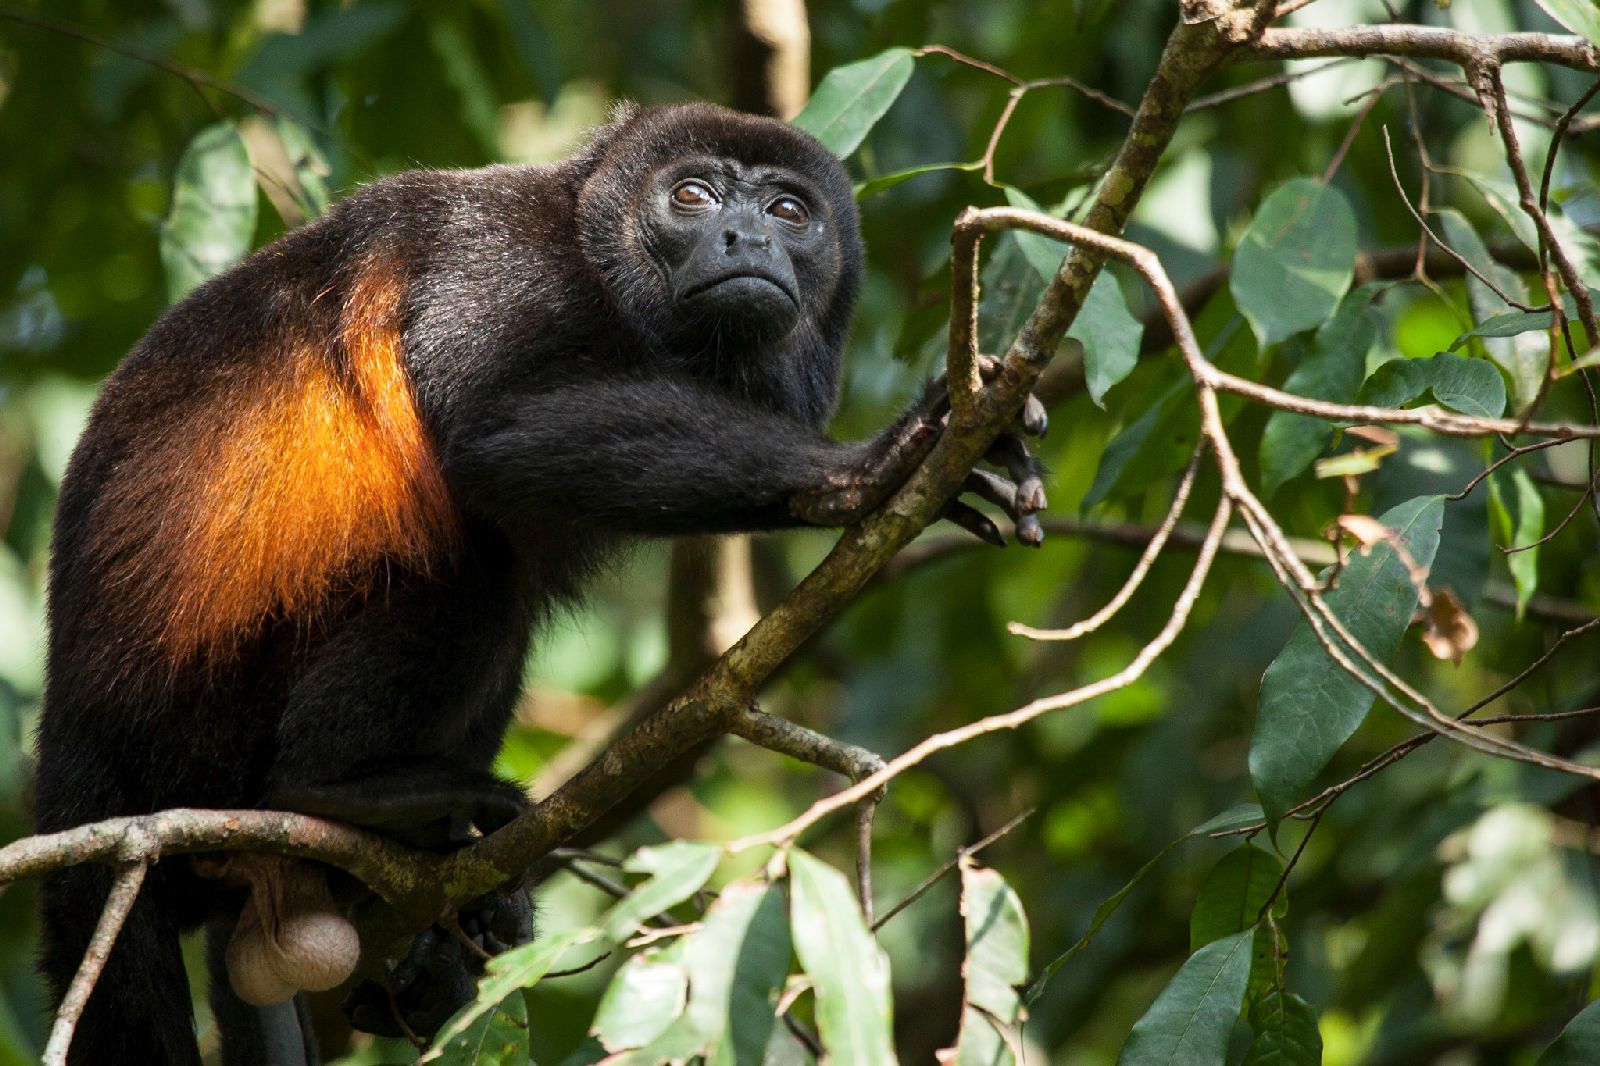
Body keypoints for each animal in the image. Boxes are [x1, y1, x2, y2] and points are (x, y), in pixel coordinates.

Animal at [32, 102, 1047, 1065]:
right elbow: (498, 427)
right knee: (473, 570)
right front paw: (868, 467)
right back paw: (336, 788)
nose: (746, 239)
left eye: (790, 212)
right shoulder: (501, 261)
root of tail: (76, 747)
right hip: (202, 722)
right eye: (693, 197)